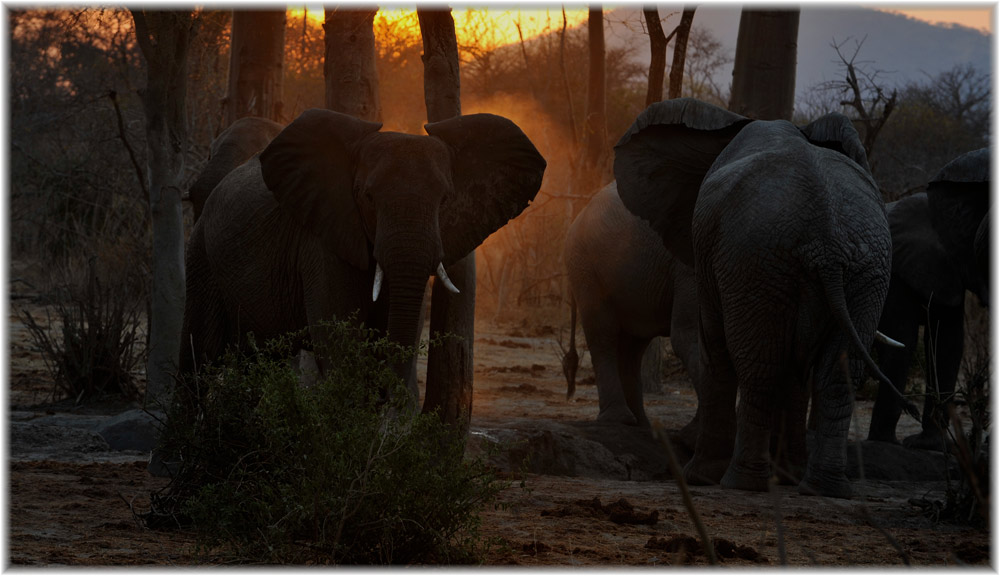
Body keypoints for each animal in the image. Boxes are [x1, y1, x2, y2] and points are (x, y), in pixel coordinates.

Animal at [181, 109, 548, 404]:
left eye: (445, 200)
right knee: (200, 356)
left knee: (259, 361)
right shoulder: (322, 238)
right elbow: (343, 349)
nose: (389, 395)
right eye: (368, 197)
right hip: (201, 253)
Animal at [568, 180, 700, 428]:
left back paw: (641, 425)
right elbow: (691, 334)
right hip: (586, 266)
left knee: (632, 347)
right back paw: (620, 420)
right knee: (604, 334)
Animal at [612, 99, 904, 500]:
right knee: (834, 374)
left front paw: (699, 477)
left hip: (756, 260)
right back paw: (822, 488)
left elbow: (715, 346)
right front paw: (788, 476)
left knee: (760, 366)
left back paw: (743, 483)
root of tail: (826, 240)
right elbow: (796, 370)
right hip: (862, 269)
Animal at [868, 148, 992, 450]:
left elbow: (947, 343)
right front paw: (887, 444)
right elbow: (906, 339)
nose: (910, 410)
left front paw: (929, 445)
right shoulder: (898, 270)